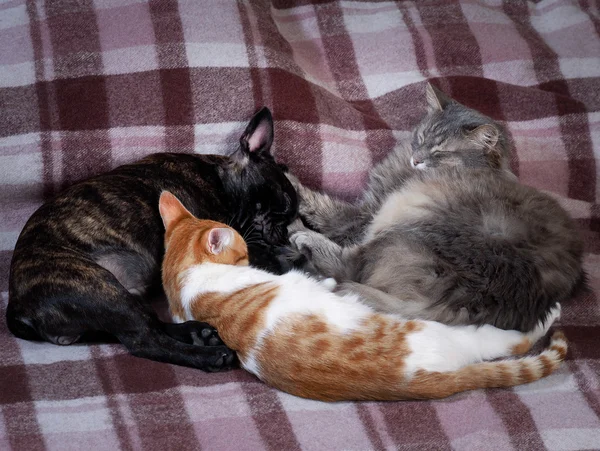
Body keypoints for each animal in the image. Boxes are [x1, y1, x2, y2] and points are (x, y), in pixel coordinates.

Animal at [161, 192, 568, 404]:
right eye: (242, 250)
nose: (249, 252)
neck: (184, 281)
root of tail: (421, 383)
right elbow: (321, 279)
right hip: (455, 333)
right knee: (516, 343)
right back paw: (548, 317)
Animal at [286, 84, 584, 332]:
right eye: (421, 137)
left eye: (440, 152)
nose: (416, 159)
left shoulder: (365, 214)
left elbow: (319, 205)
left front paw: (286, 180)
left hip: (402, 220)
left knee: (348, 267)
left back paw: (301, 234)